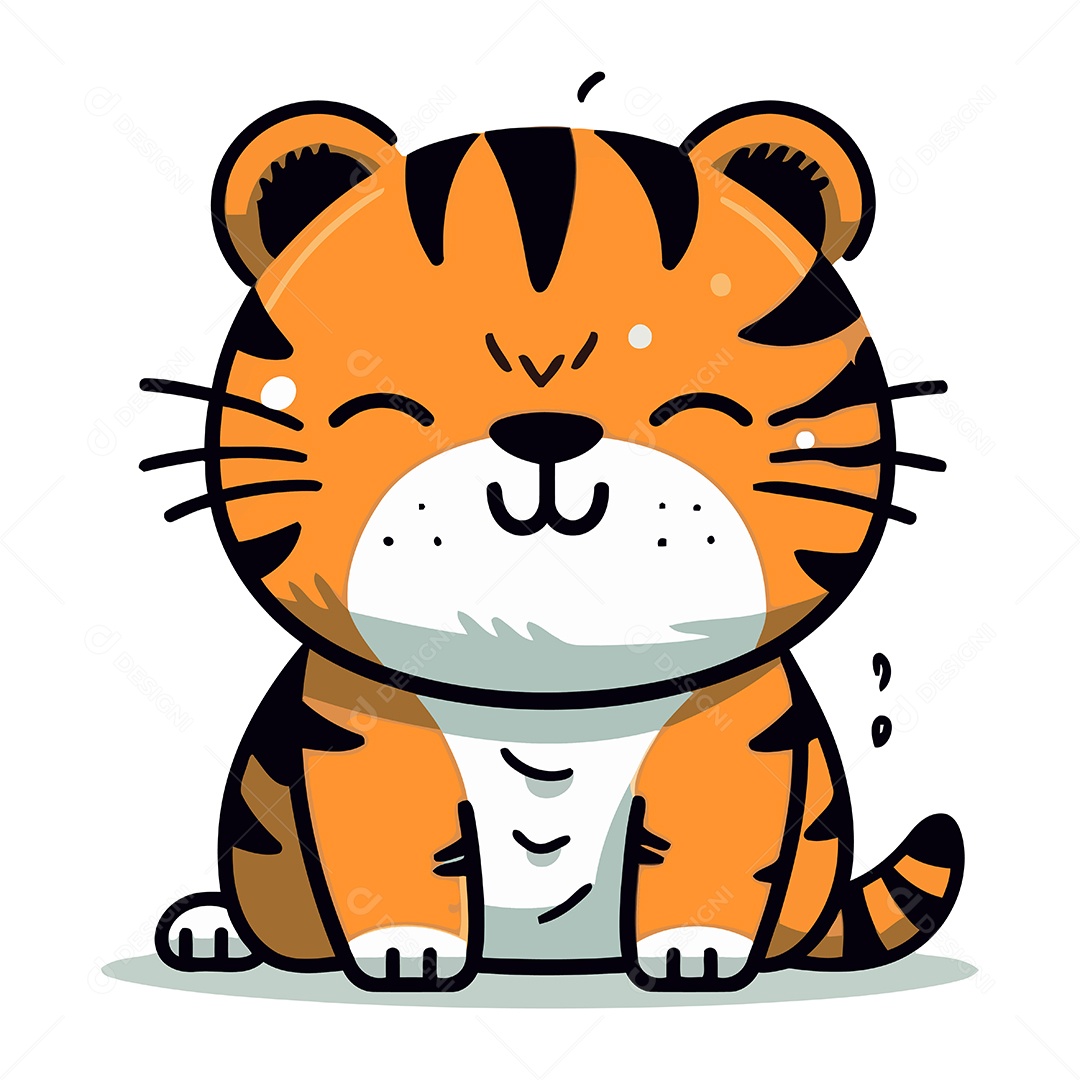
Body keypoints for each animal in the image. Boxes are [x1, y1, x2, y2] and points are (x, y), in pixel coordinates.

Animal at [142, 96, 964, 993]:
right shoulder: (358, 729)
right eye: (391, 401)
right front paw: (403, 951)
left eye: (698, 405)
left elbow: (714, 854)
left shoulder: (737, 734)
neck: (548, 699)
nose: (545, 433)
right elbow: (390, 854)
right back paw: (216, 927)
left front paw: (697, 951)